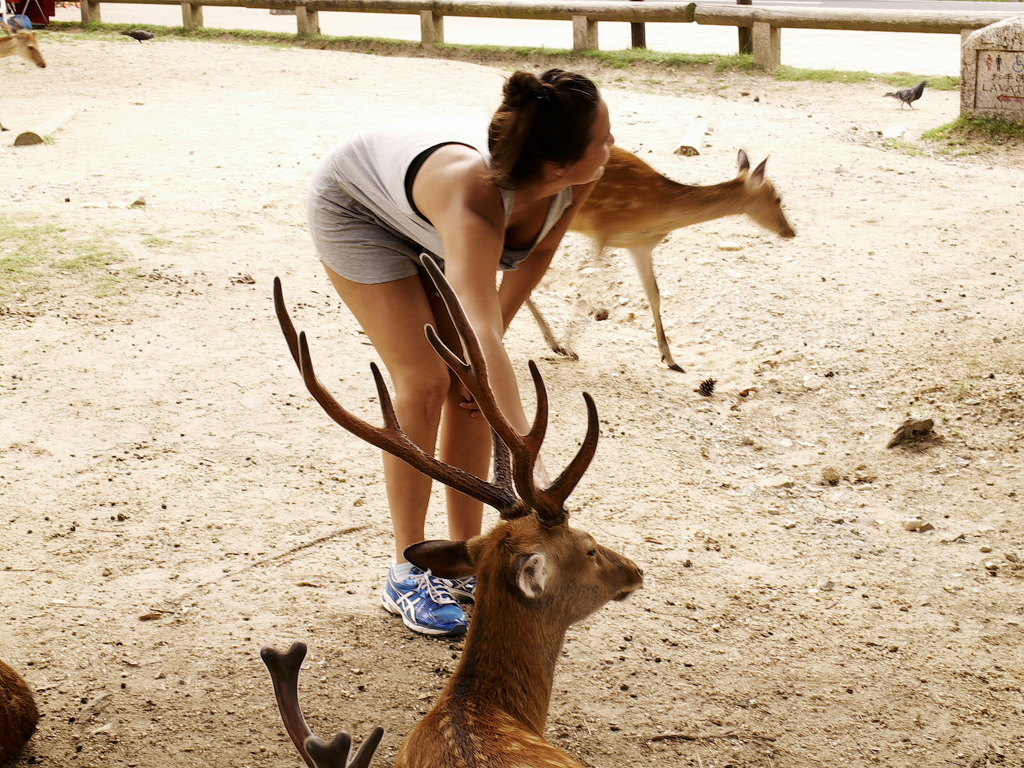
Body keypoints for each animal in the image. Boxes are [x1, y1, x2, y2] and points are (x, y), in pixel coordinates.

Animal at [528, 146, 798, 372]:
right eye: (778, 198)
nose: (790, 232)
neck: (659, 210)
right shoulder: (602, 232)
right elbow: (586, 290)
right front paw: (570, 347)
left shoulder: (639, 246)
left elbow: (654, 295)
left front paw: (670, 359)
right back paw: (555, 344)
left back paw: (552, 343)